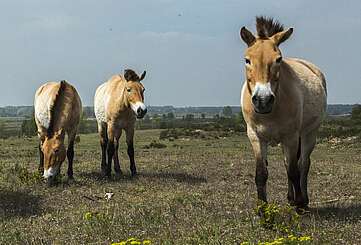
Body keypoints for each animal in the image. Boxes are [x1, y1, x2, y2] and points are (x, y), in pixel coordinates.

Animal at [239, 16, 326, 209]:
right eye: (247, 60)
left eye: (278, 59)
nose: (263, 100)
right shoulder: (255, 137)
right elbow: (261, 173)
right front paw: (262, 209)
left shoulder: (291, 137)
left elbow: (294, 171)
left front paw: (300, 204)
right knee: (288, 164)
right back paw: (290, 198)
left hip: (309, 133)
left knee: (303, 164)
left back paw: (303, 200)